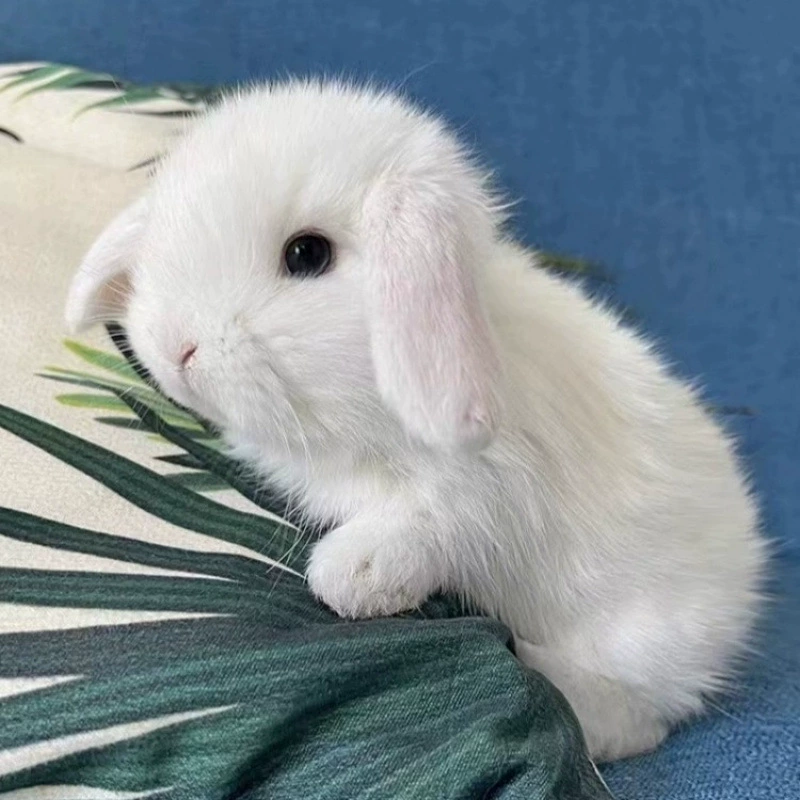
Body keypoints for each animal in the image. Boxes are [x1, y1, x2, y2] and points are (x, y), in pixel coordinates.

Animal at [65, 80, 767, 762]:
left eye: (306, 254)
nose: (176, 348)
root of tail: (747, 577)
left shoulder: (482, 496)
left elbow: (420, 528)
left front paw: (350, 578)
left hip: (643, 642)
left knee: (640, 716)